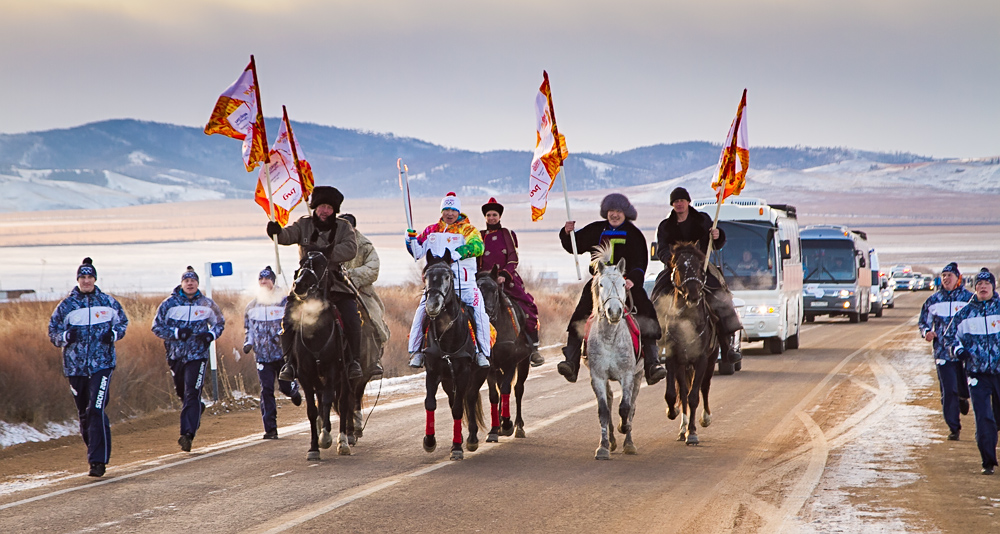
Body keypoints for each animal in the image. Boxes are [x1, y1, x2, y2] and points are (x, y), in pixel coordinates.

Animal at [286, 247, 356, 460]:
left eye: (321, 264)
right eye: (301, 264)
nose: (298, 285)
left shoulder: (333, 370)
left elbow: (327, 401)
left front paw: (325, 438)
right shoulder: (305, 375)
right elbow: (312, 409)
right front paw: (313, 447)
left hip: (344, 377)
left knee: (342, 403)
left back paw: (343, 441)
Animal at [418, 251, 488, 460]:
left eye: (448, 276)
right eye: (426, 276)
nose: (432, 305)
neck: (447, 335)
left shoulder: (464, 372)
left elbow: (459, 408)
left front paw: (457, 447)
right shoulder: (433, 371)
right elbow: (430, 403)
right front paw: (429, 441)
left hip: (477, 375)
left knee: (470, 398)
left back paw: (471, 438)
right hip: (449, 380)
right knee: (452, 400)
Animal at [474, 264, 532, 444]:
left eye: (493, 289)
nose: (485, 313)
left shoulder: (511, 363)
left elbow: (507, 389)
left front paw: (507, 425)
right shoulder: (490, 367)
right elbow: (494, 395)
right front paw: (494, 430)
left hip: (524, 363)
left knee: (518, 389)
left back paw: (518, 426)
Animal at [584, 247, 644, 460]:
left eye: (623, 283)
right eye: (601, 284)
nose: (615, 312)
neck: (610, 337)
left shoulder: (627, 375)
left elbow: (625, 408)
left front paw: (623, 428)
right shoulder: (598, 376)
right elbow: (603, 410)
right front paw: (603, 447)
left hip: (638, 375)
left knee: (632, 406)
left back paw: (628, 442)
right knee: (610, 402)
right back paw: (611, 440)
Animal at [656, 241, 720, 446]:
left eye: (700, 267)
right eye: (679, 267)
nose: (693, 296)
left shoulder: (701, 360)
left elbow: (694, 396)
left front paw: (692, 433)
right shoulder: (672, 359)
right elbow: (673, 394)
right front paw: (673, 412)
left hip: (710, 360)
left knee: (704, 387)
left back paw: (705, 418)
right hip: (683, 366)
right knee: (683, 391)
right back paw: (682, 427)